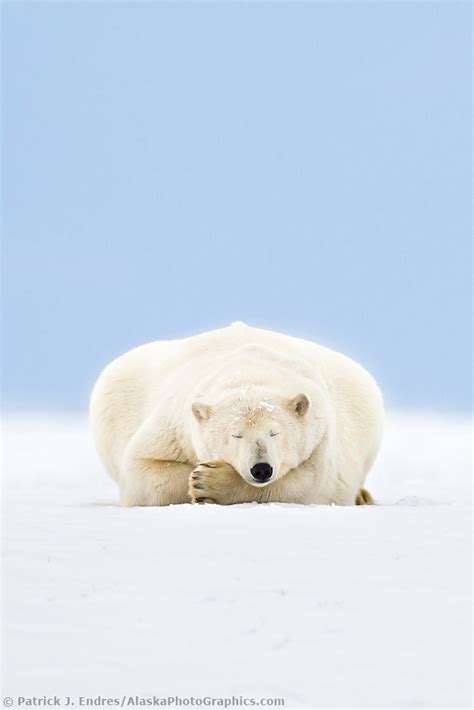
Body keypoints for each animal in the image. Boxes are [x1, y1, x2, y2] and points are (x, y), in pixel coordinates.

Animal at [90, 322, 386, 506]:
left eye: (274, 432)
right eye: (236, 435)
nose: (261, 468)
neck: (248, 370)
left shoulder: (322, 433)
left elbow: (312, 484)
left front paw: (209, 482)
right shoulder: (173, 425)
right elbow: (141, 470)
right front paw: (197, 477)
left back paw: (363, 496)